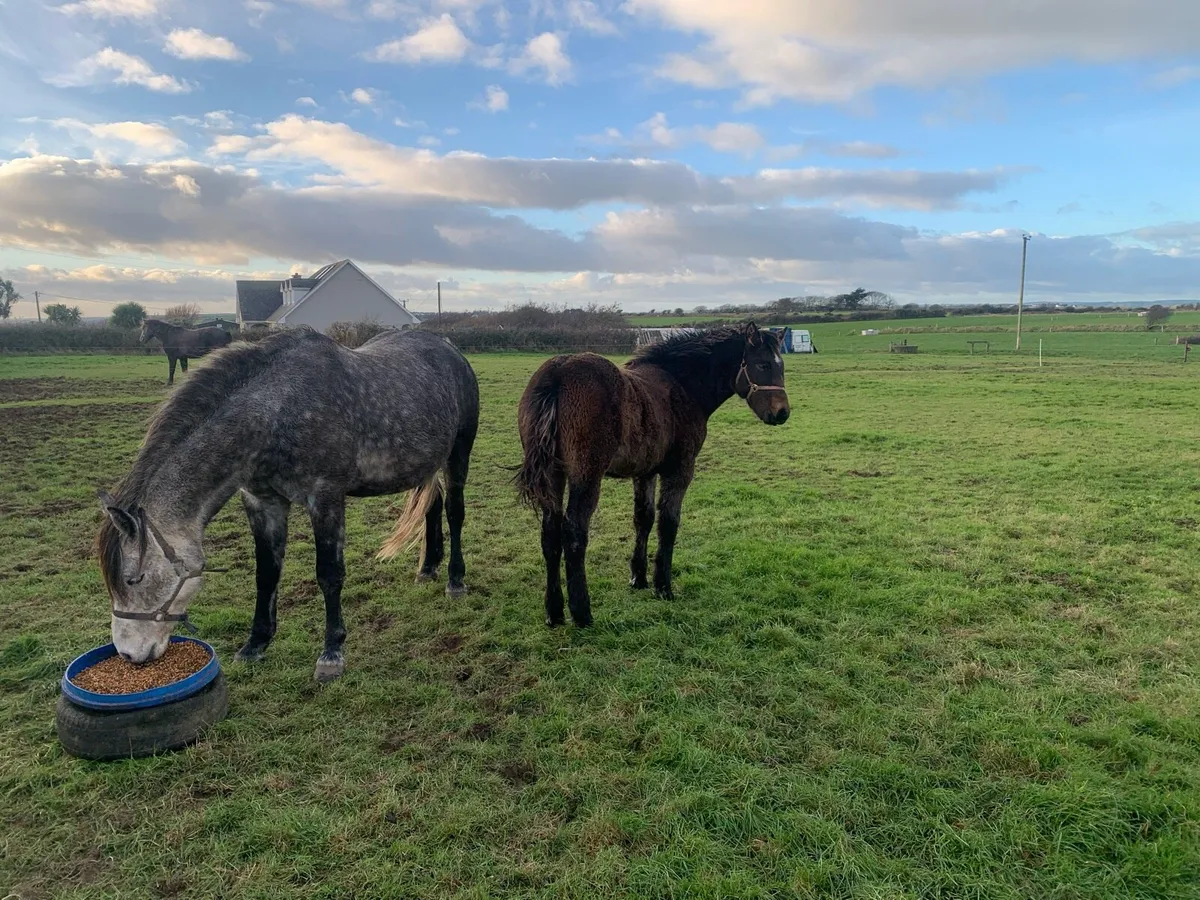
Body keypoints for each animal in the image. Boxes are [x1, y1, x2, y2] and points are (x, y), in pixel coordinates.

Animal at [98, 326, 479, 682]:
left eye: (135, 579)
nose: (129, 655)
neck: (277, 413)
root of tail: (449, 349)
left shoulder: (325, 498)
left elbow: (329, 574)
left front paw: (331, 654)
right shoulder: (262, 502)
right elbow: (267, 574)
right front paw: (255, 645)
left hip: (457, 454)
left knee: (454, 512)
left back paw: (455, 580)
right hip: (423, 464)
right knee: (432, 506)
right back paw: (427, 567)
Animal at [515, 322, 791, 629]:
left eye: (782, 365)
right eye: (762, 364)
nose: (782, 413)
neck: (682, 386)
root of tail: (557, 373)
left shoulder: (644, 472)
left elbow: (643, 519)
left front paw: (639, 577)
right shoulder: (680, 469)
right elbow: (668, 523)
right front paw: (663, 586)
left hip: (554, 475)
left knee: (549, 533)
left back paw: (554, 612)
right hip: (585, 475)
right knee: (573, 532)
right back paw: (582, 613)